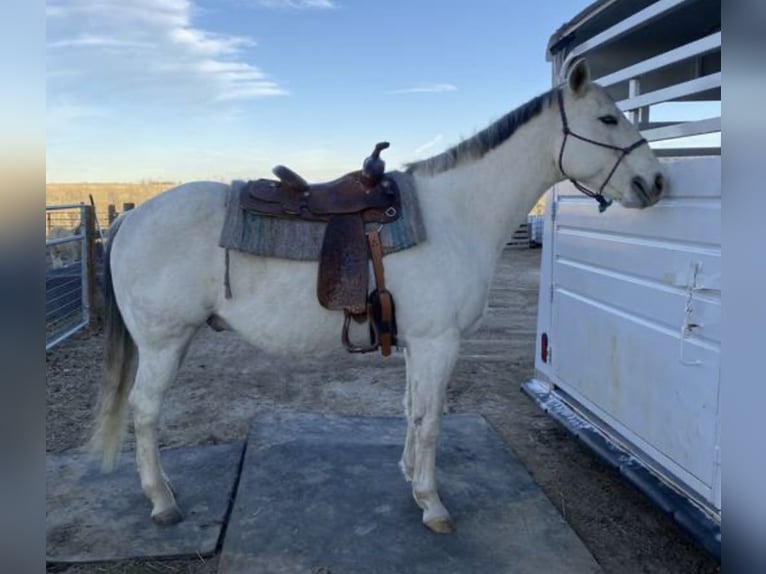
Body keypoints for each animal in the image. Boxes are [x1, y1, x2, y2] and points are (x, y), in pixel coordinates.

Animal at [90, 59, 665, 533]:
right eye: (608, 119)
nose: (656, 181)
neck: (456, 214)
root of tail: (129, 218)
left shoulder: (417, 343)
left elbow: (412, 409)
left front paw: (410, 477)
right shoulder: (439, 343)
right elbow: (431, 422)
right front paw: (432, 503)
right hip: (164, 343)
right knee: (145, 410)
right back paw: (161, 501)